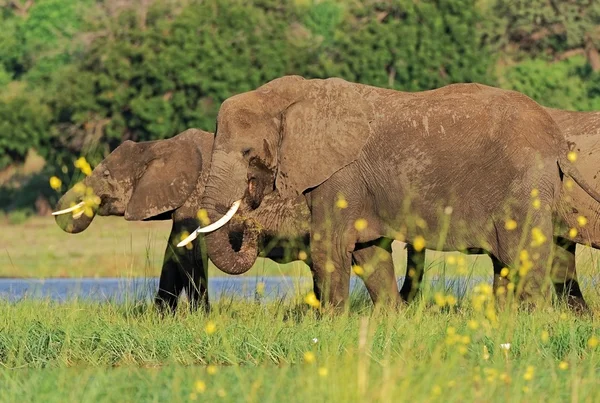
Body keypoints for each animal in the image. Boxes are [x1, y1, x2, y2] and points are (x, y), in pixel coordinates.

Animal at [182, 75, 600, 310]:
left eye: (247, 152)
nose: (249, 224)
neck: (292, 96)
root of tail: (555, 138)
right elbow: (369, 255)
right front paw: (389, 319)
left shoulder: (340, 176)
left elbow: (329, 249)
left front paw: (330, 326)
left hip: (523, 187)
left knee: (523, 257)